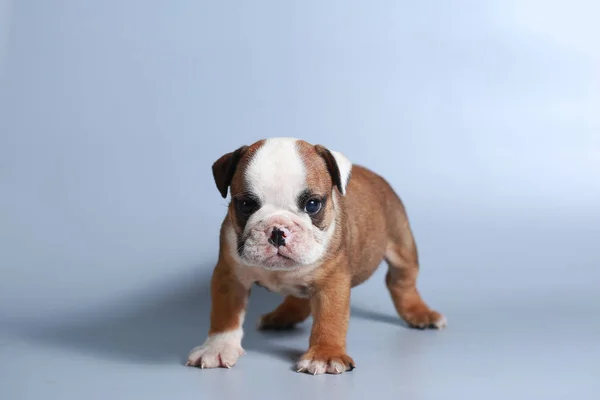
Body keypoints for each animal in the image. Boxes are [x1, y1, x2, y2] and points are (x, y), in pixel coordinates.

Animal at [188, 138, 446, 376]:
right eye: (246, 205)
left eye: (312, 205)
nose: (277, 231)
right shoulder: (230, 276)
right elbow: (225, 315)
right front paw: (217, 348)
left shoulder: (332, 282)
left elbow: (329, 319)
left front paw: (325, 355)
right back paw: (281, 317)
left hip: (401, 244)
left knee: (401, 282)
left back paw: (420, 313)